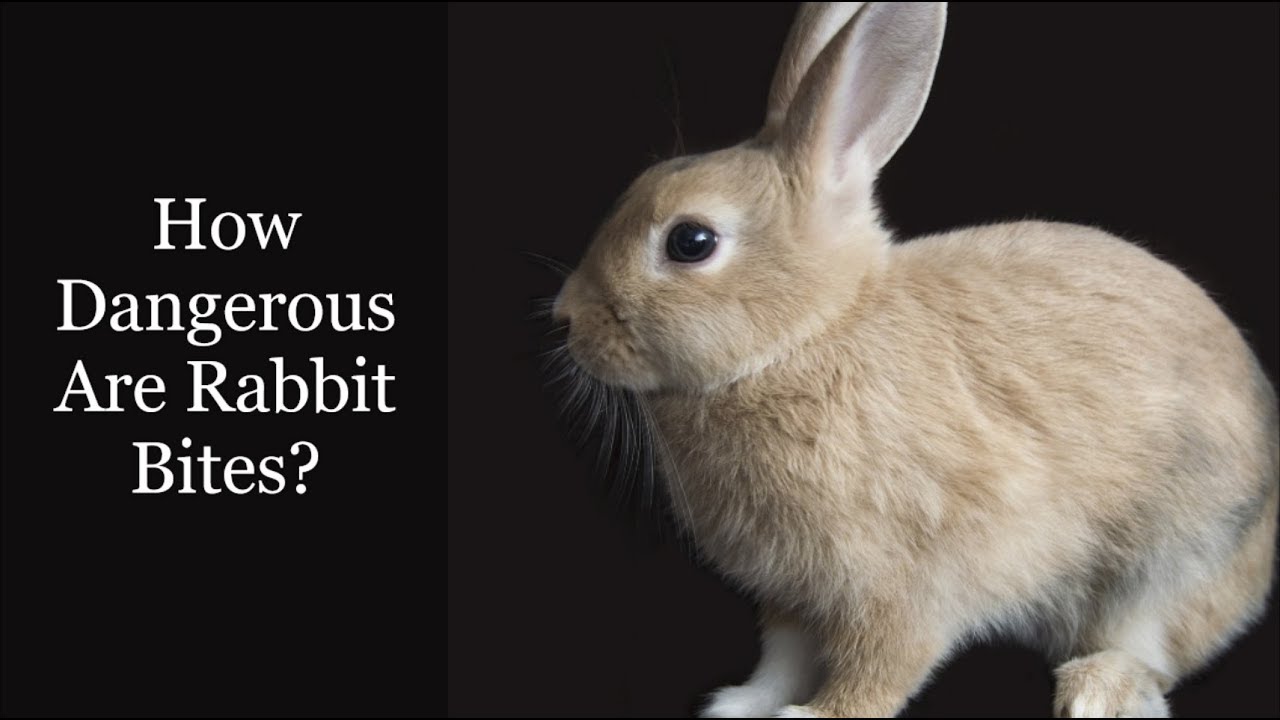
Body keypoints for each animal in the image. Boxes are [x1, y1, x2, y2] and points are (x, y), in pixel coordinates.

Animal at [549, 2, 1278, 717]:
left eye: (691, 242)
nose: (565, 316)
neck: (807, 336)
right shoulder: (790, 593)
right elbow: (783, 659)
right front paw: (741, 705)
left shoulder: (908, 582)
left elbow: (883, 664)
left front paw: (816, 715)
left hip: (1168, 568)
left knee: (1151, 654)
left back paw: (1094, 691)